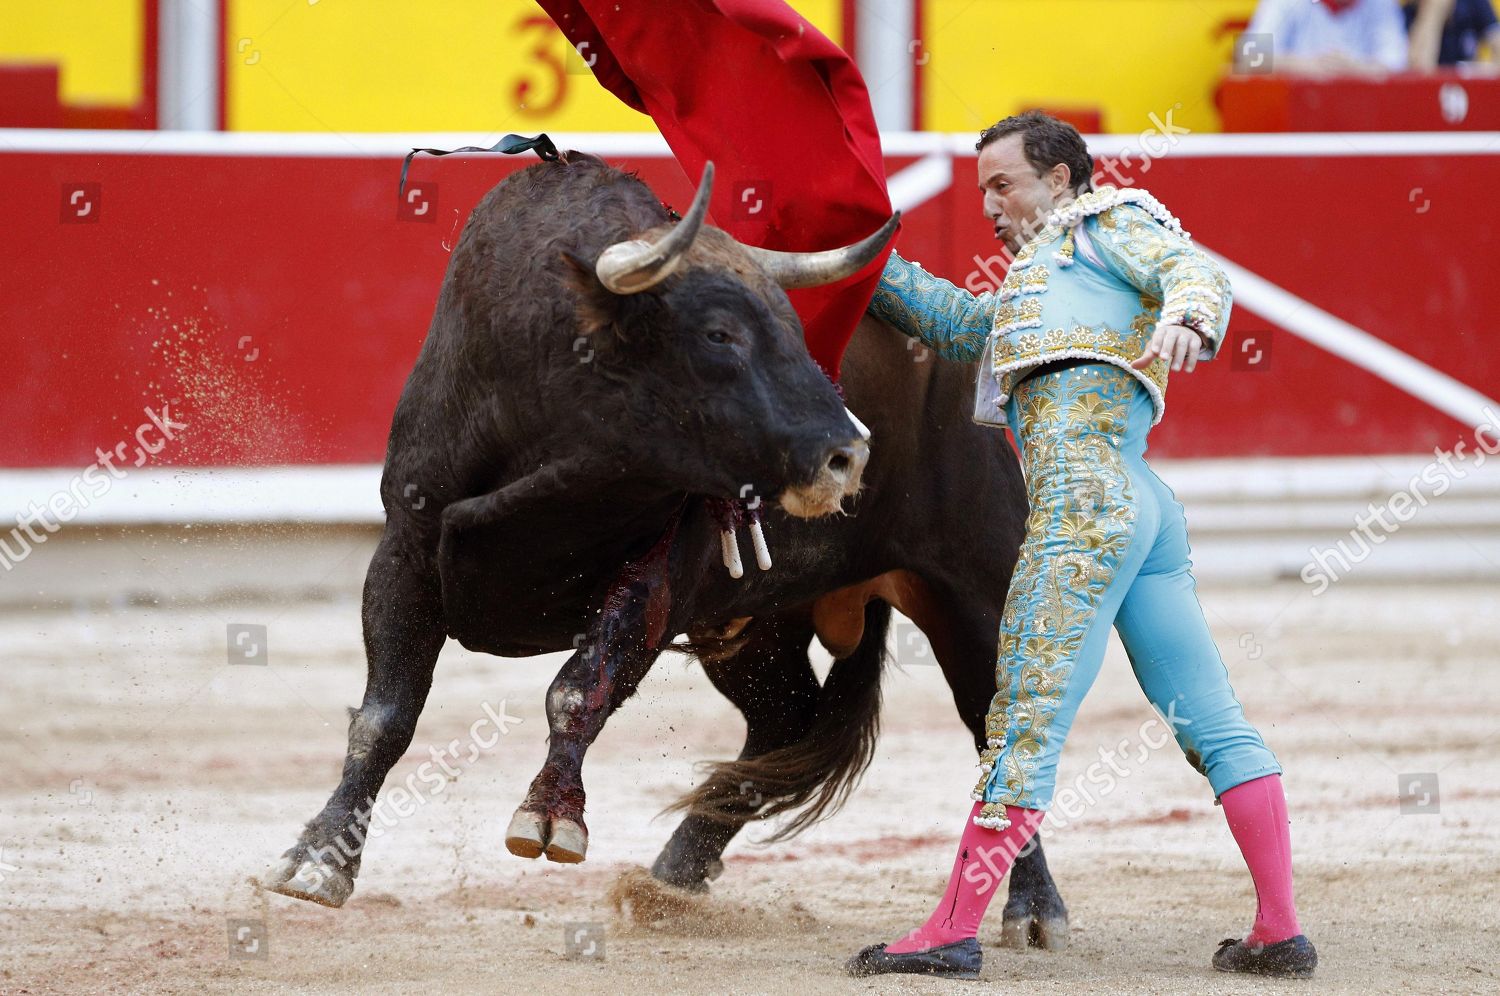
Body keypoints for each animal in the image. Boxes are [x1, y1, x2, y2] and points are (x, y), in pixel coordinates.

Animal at [261, 150, 1080, 948]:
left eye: (796, 329)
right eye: (719, 333)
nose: (848, 455)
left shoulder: (657, 575)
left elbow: (577, 690)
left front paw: (551, 817)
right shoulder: (406, 548)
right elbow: (386, 713)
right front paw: (317, 860)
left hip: (977, 591)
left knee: (998, 733)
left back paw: (1033, 910)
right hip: (754, 629)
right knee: (784, 720)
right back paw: (674, 876)